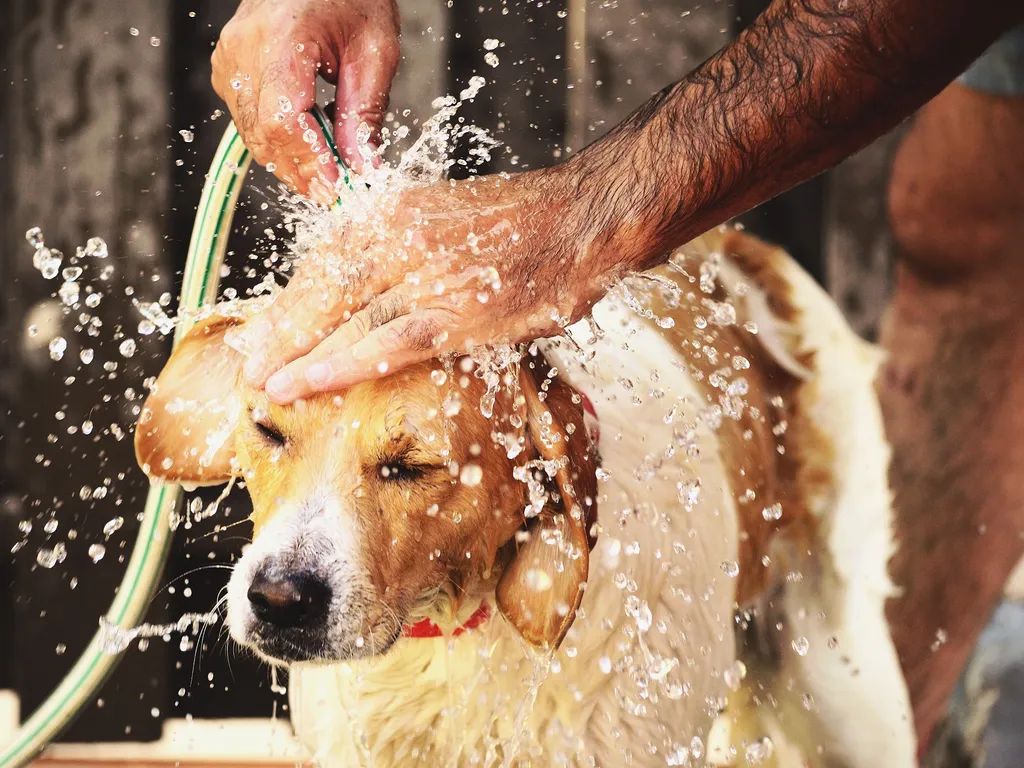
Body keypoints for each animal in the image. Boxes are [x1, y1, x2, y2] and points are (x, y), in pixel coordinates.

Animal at [134, 230, 913, 768]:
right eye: (267, 430)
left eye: (411, 466)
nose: (279, 599)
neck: (454, 635)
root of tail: (753, 251)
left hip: (848, 696)